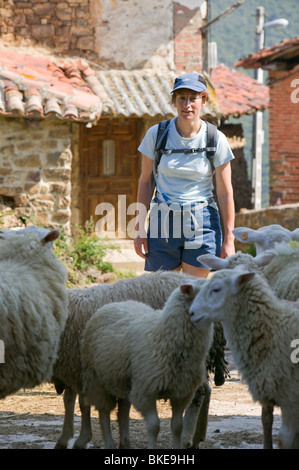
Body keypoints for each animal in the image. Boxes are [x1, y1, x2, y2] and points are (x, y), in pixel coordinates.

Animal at [53, 272, 227, 452]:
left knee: (197, 396)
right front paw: (68, 437)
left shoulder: (81, 369)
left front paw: (78, 438)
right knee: (205, 391)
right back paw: (197, 437)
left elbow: (81, 403)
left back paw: (187, 439)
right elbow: (70, 400)